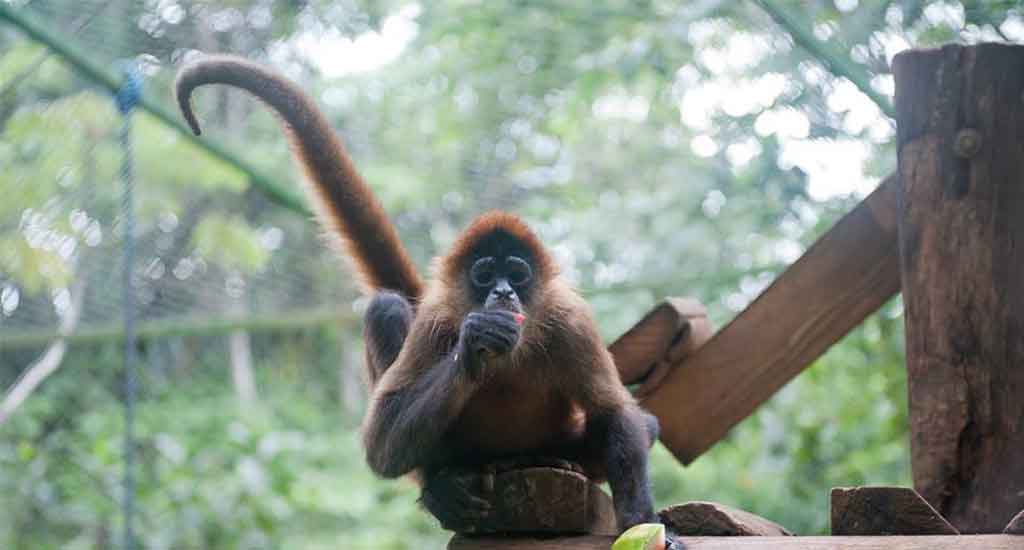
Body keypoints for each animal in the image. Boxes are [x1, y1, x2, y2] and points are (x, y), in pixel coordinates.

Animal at [176, 56, 674, 543]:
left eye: (517, 273)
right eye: (484, 274)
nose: (503, 292)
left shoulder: (571, 321)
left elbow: (616, 414)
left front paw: (642, 523)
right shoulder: (436, 319)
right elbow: (380, 446)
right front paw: (475, 341)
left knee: (641, 425)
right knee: (387, 307)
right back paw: (441, 486)